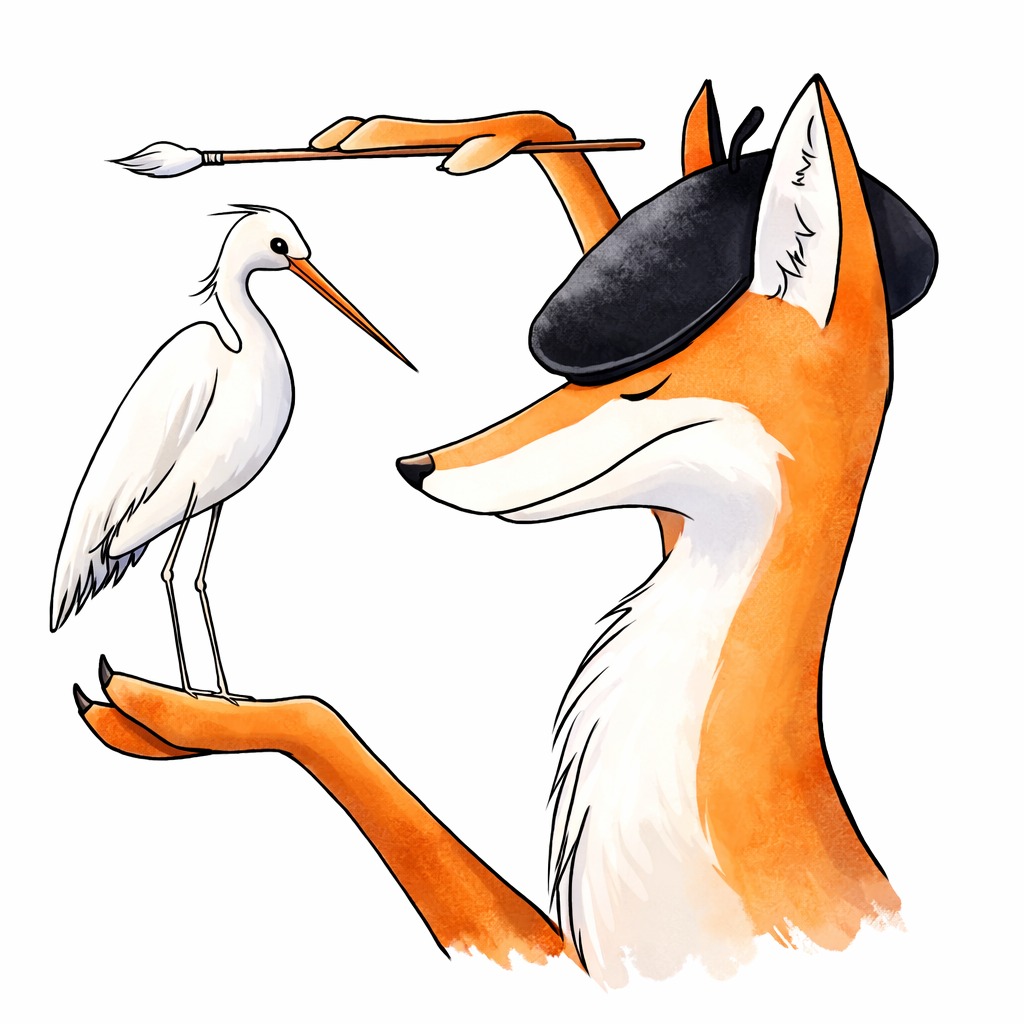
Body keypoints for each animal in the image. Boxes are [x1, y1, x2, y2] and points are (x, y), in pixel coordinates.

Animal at [76, 75, 936, 987]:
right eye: (566, 380)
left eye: (641, 385)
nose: (417, 465)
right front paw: (469, 134)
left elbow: (311, 712)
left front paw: (199, 713)